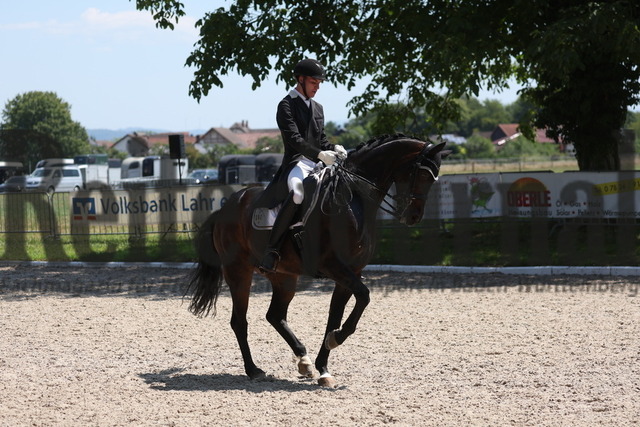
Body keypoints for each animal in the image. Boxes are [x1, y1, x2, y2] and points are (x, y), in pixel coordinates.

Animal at [185, 135, 448, 390]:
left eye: (434, 177)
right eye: (422, 174)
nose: (413, 217)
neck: (353, 200)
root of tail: (225, 208)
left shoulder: (351, 272)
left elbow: (336, 316)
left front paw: (324, 368)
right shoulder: (334, 266)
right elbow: (363, 297)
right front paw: (336, 339)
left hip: (284, 277)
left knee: (275, 315)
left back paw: (304, 361)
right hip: (238, 272)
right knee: (239, 321)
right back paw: (254, 370)